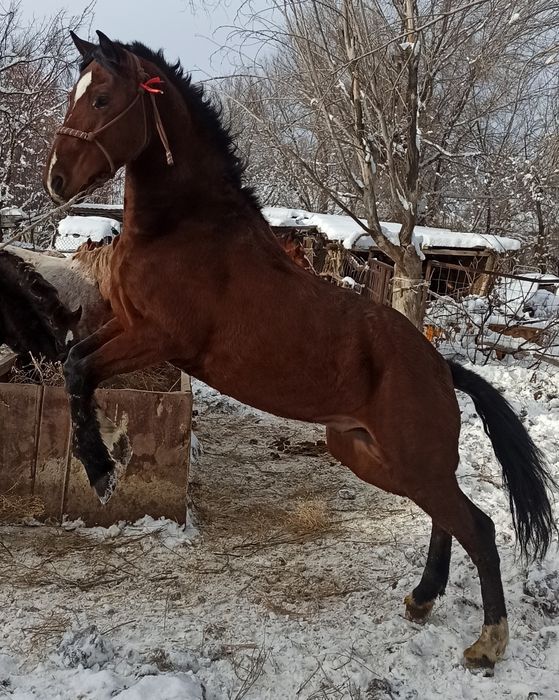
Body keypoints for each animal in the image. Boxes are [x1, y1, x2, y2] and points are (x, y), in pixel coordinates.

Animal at [43, 30, 555, 670]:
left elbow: (83, 370)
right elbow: (74, 365)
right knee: (450, 516)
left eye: (104, 98)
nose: (55, 180)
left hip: (408, 460)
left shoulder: (158, 338)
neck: (185, 232)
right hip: (373, 454)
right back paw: (421, 599)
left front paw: (102, 472)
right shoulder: (129, 328)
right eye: (75, 92)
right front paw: (101, 465)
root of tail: (442, 366)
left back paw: (488, 642)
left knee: (478, 527)